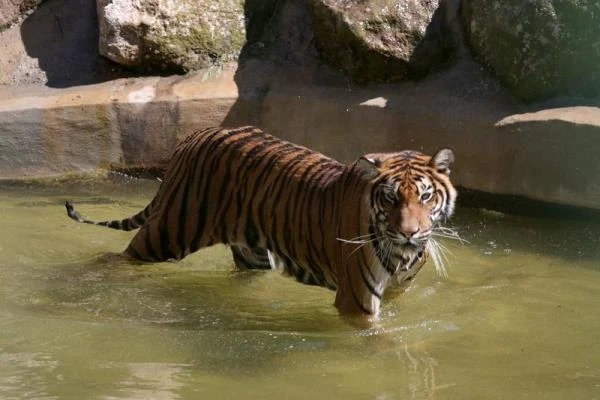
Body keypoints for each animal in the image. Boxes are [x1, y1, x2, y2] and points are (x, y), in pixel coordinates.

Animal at [65, 126, 458, 316]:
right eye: (390, 198)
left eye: (425, 197)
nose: (409, 233)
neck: (404, 254)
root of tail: (196, 135)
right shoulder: (356, 298)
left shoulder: (397, 289)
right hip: (170, 230)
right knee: (120, 255)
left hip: (251, 251)